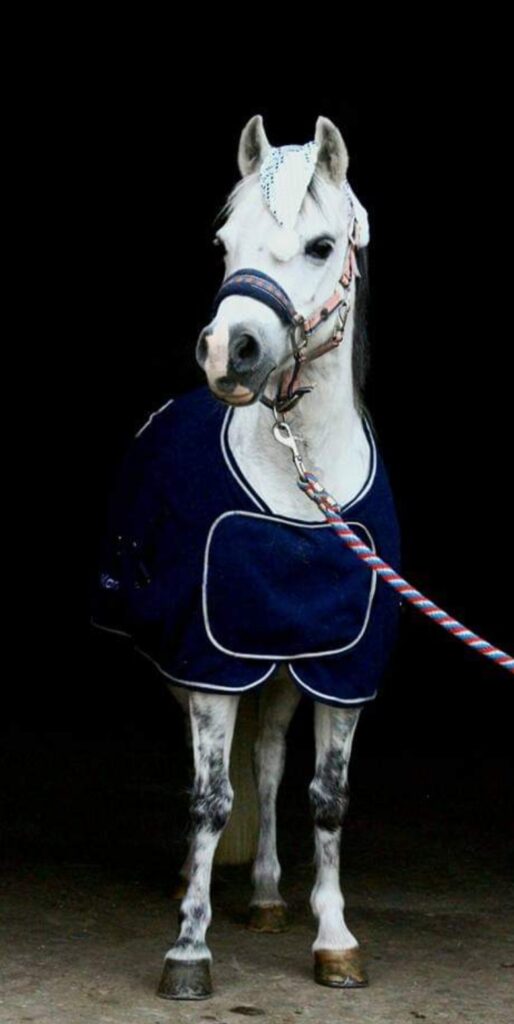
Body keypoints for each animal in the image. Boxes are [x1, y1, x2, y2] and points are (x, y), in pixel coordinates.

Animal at [92, 113, 402, 1000]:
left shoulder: (342, 666)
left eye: (323, 245)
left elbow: (325, 797)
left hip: (283, 667)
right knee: (218, 776)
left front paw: (335, 938)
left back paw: (266, 896)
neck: (302, 483)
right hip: (189, 659)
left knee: (265, 763)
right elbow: (208, 799)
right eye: (225, 243)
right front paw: (188, 949)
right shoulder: (210, 659)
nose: (229, 351)